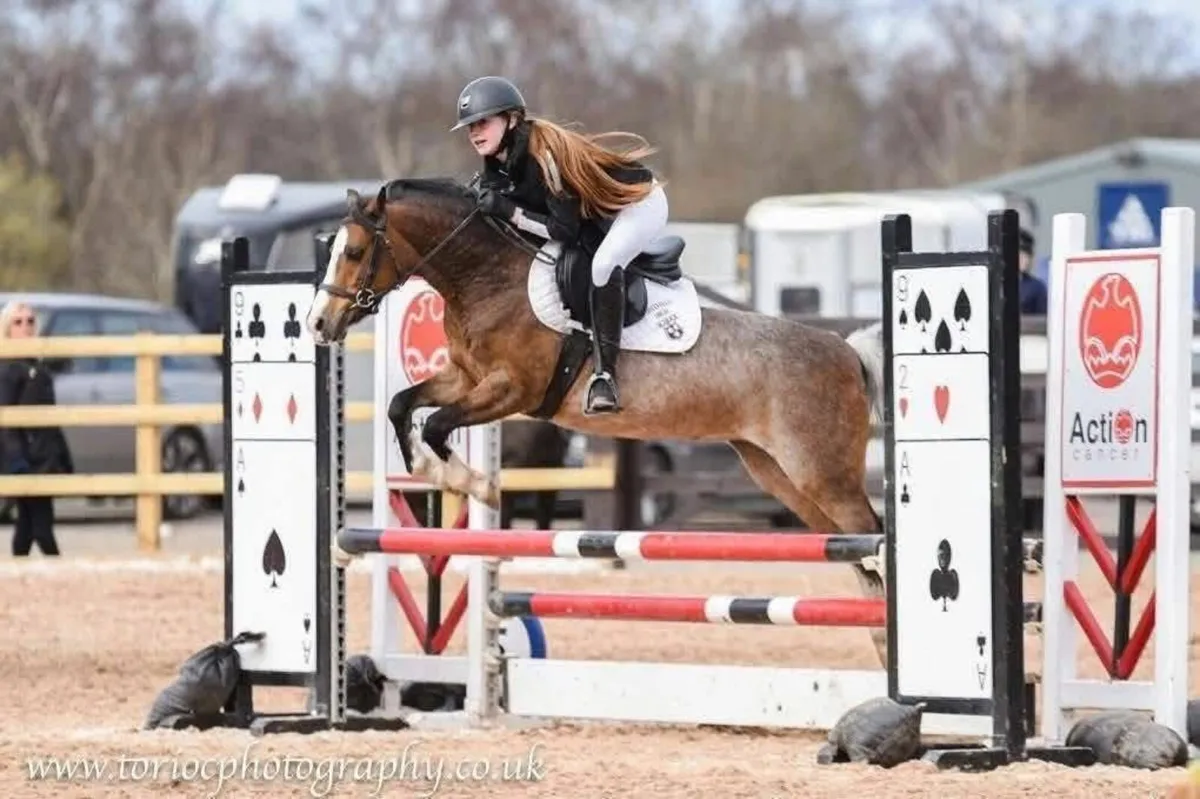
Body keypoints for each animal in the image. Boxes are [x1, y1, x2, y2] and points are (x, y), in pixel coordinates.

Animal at [305, 179, 889, 657]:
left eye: (354, 251)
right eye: (331, 250)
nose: (317, 324)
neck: (488, 278)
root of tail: (847, 352)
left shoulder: (511, 389)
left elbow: (435, 424)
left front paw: (472, 483)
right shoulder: (464, 378)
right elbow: (403, 405)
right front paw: (442, 474)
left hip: (821, 472)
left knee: (874, 537)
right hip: (780, 475)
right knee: (856, 555)